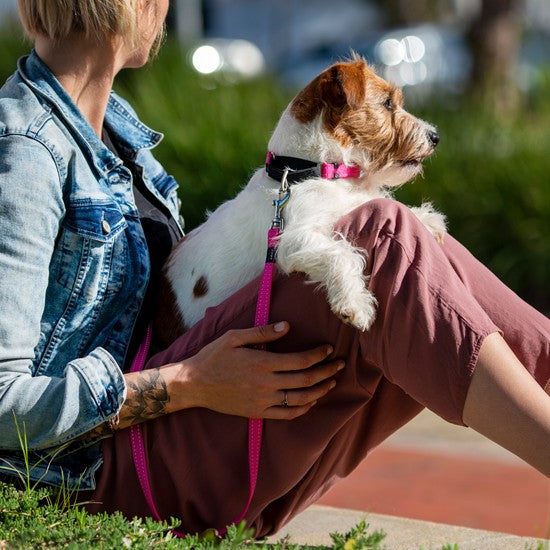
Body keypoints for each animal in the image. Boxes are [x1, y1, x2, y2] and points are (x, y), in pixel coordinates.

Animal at [154, 54, 444, 342]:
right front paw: (355, 305)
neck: (313, 169)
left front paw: (428, 220)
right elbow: (340, 255)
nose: (435, 136)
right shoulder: (290, 240)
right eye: (387, 103)